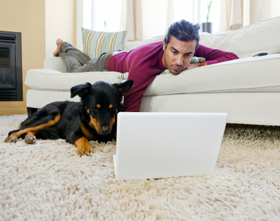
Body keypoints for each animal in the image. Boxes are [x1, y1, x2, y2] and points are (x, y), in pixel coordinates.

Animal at [4, 80, 133, 155]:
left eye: (112, 108)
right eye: (95, 108)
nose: (105, 130)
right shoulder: (72, 134)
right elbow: (82, 138)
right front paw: (85, 147)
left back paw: (29, 137)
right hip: (52, 115)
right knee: (17, 129)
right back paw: (13, 138)